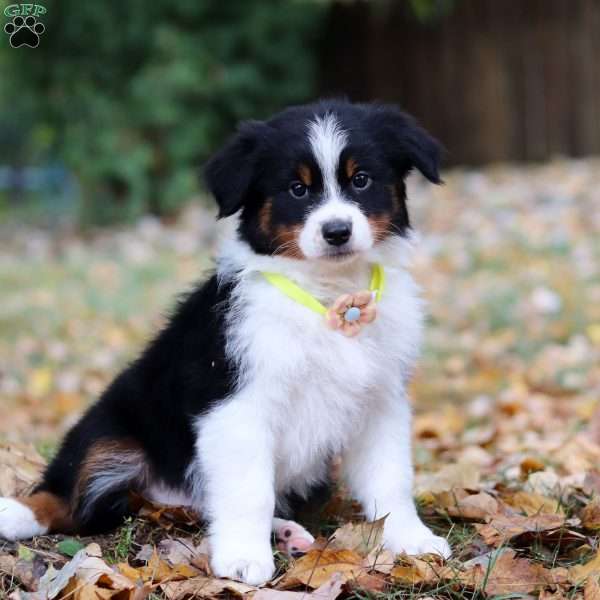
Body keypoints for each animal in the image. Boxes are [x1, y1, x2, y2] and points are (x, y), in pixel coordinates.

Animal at [0, 99, 450, 584]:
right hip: (109, 429)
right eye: (297, 189)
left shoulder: (380, 400)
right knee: (68, 495)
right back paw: (16, 512)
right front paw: (243, 558)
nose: (336, 231)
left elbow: (391, 477)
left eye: (361, 180)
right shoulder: (235, 403)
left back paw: (285, 532)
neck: (329, 297)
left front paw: (412, 540)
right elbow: (248, 490)